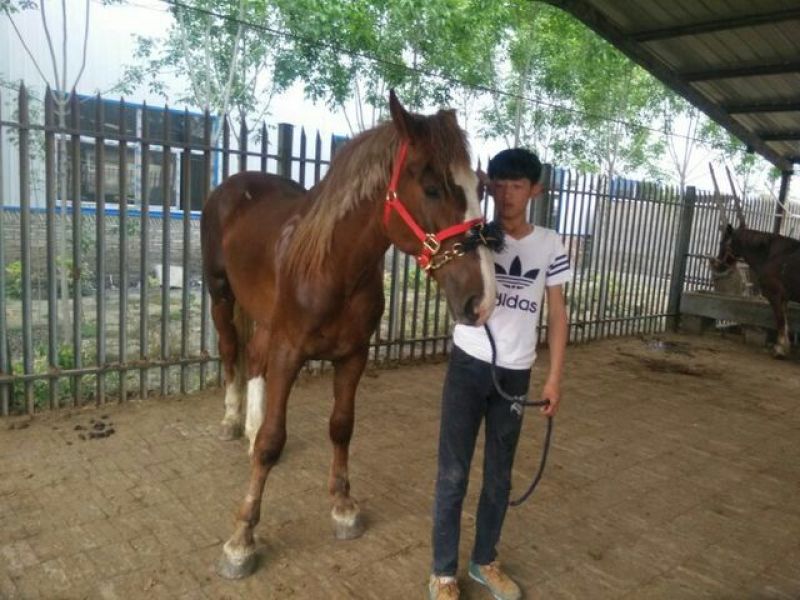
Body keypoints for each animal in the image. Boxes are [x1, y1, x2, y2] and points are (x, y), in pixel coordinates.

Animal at [201, 90, 497, 579]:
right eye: (432, 188)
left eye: (479, 188)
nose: (483, 300)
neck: (331, 265)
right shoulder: (289, 352)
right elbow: (272, 443)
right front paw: (241, 539)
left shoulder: (354, 355)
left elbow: (341, 427)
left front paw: (342, 507)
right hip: (221, 295)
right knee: (230, 351)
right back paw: (230, 421)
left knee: (254, 357)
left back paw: (249, 424)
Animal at [709, 186, 800, 358]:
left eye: (722, 242)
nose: (718, 265)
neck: (771, 254)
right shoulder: (783, 298)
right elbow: (784, 321)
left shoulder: (775, 295)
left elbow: (780, 320)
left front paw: (780, 349)